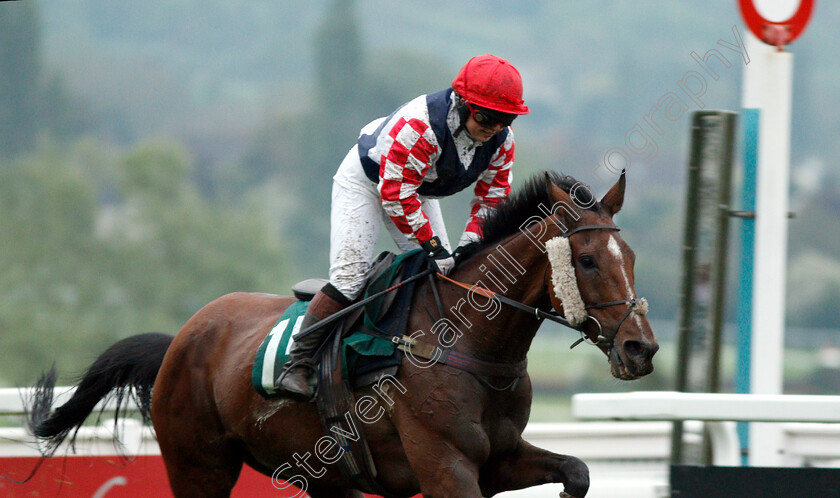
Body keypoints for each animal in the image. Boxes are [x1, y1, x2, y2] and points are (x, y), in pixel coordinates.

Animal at [24, 169, 656, 496]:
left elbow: (578, 471)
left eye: (630, 256)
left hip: (328, 477)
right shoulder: (446, 466)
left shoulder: (497, 460)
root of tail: (180, 338)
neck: (468, 343)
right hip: (197, 465)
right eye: (588, 260)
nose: (641, 347)